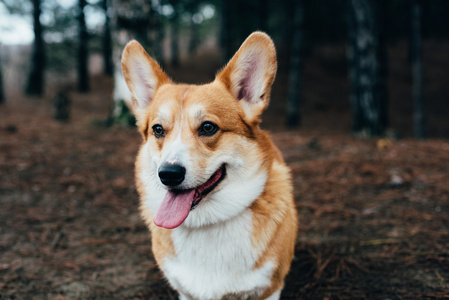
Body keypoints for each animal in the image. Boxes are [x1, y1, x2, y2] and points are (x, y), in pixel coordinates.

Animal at [121, 31, 300, 298]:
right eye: (158, 130)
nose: (168, 174)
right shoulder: (185, 292)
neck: (207, 222)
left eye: (208, 127)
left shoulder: (269, 289)